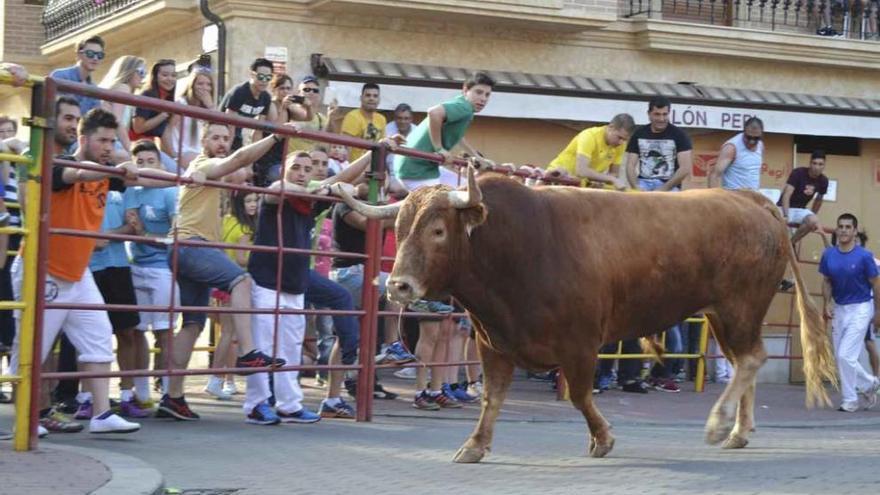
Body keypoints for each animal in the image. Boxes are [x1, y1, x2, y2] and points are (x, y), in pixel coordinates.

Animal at [334, 169, 836, 464]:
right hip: (723, 315)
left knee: (750, 360)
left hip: (738, 307)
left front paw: (603, 438)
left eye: (438, 231)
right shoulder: (493, 342)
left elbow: (579, 395)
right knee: (744, 361)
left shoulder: (579, 344)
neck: (516, 248)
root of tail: (752, 200)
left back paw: (718, 425)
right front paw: (474, 445)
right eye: (399, 230)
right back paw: (738, 431)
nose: (398, 286)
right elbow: (491, 398)